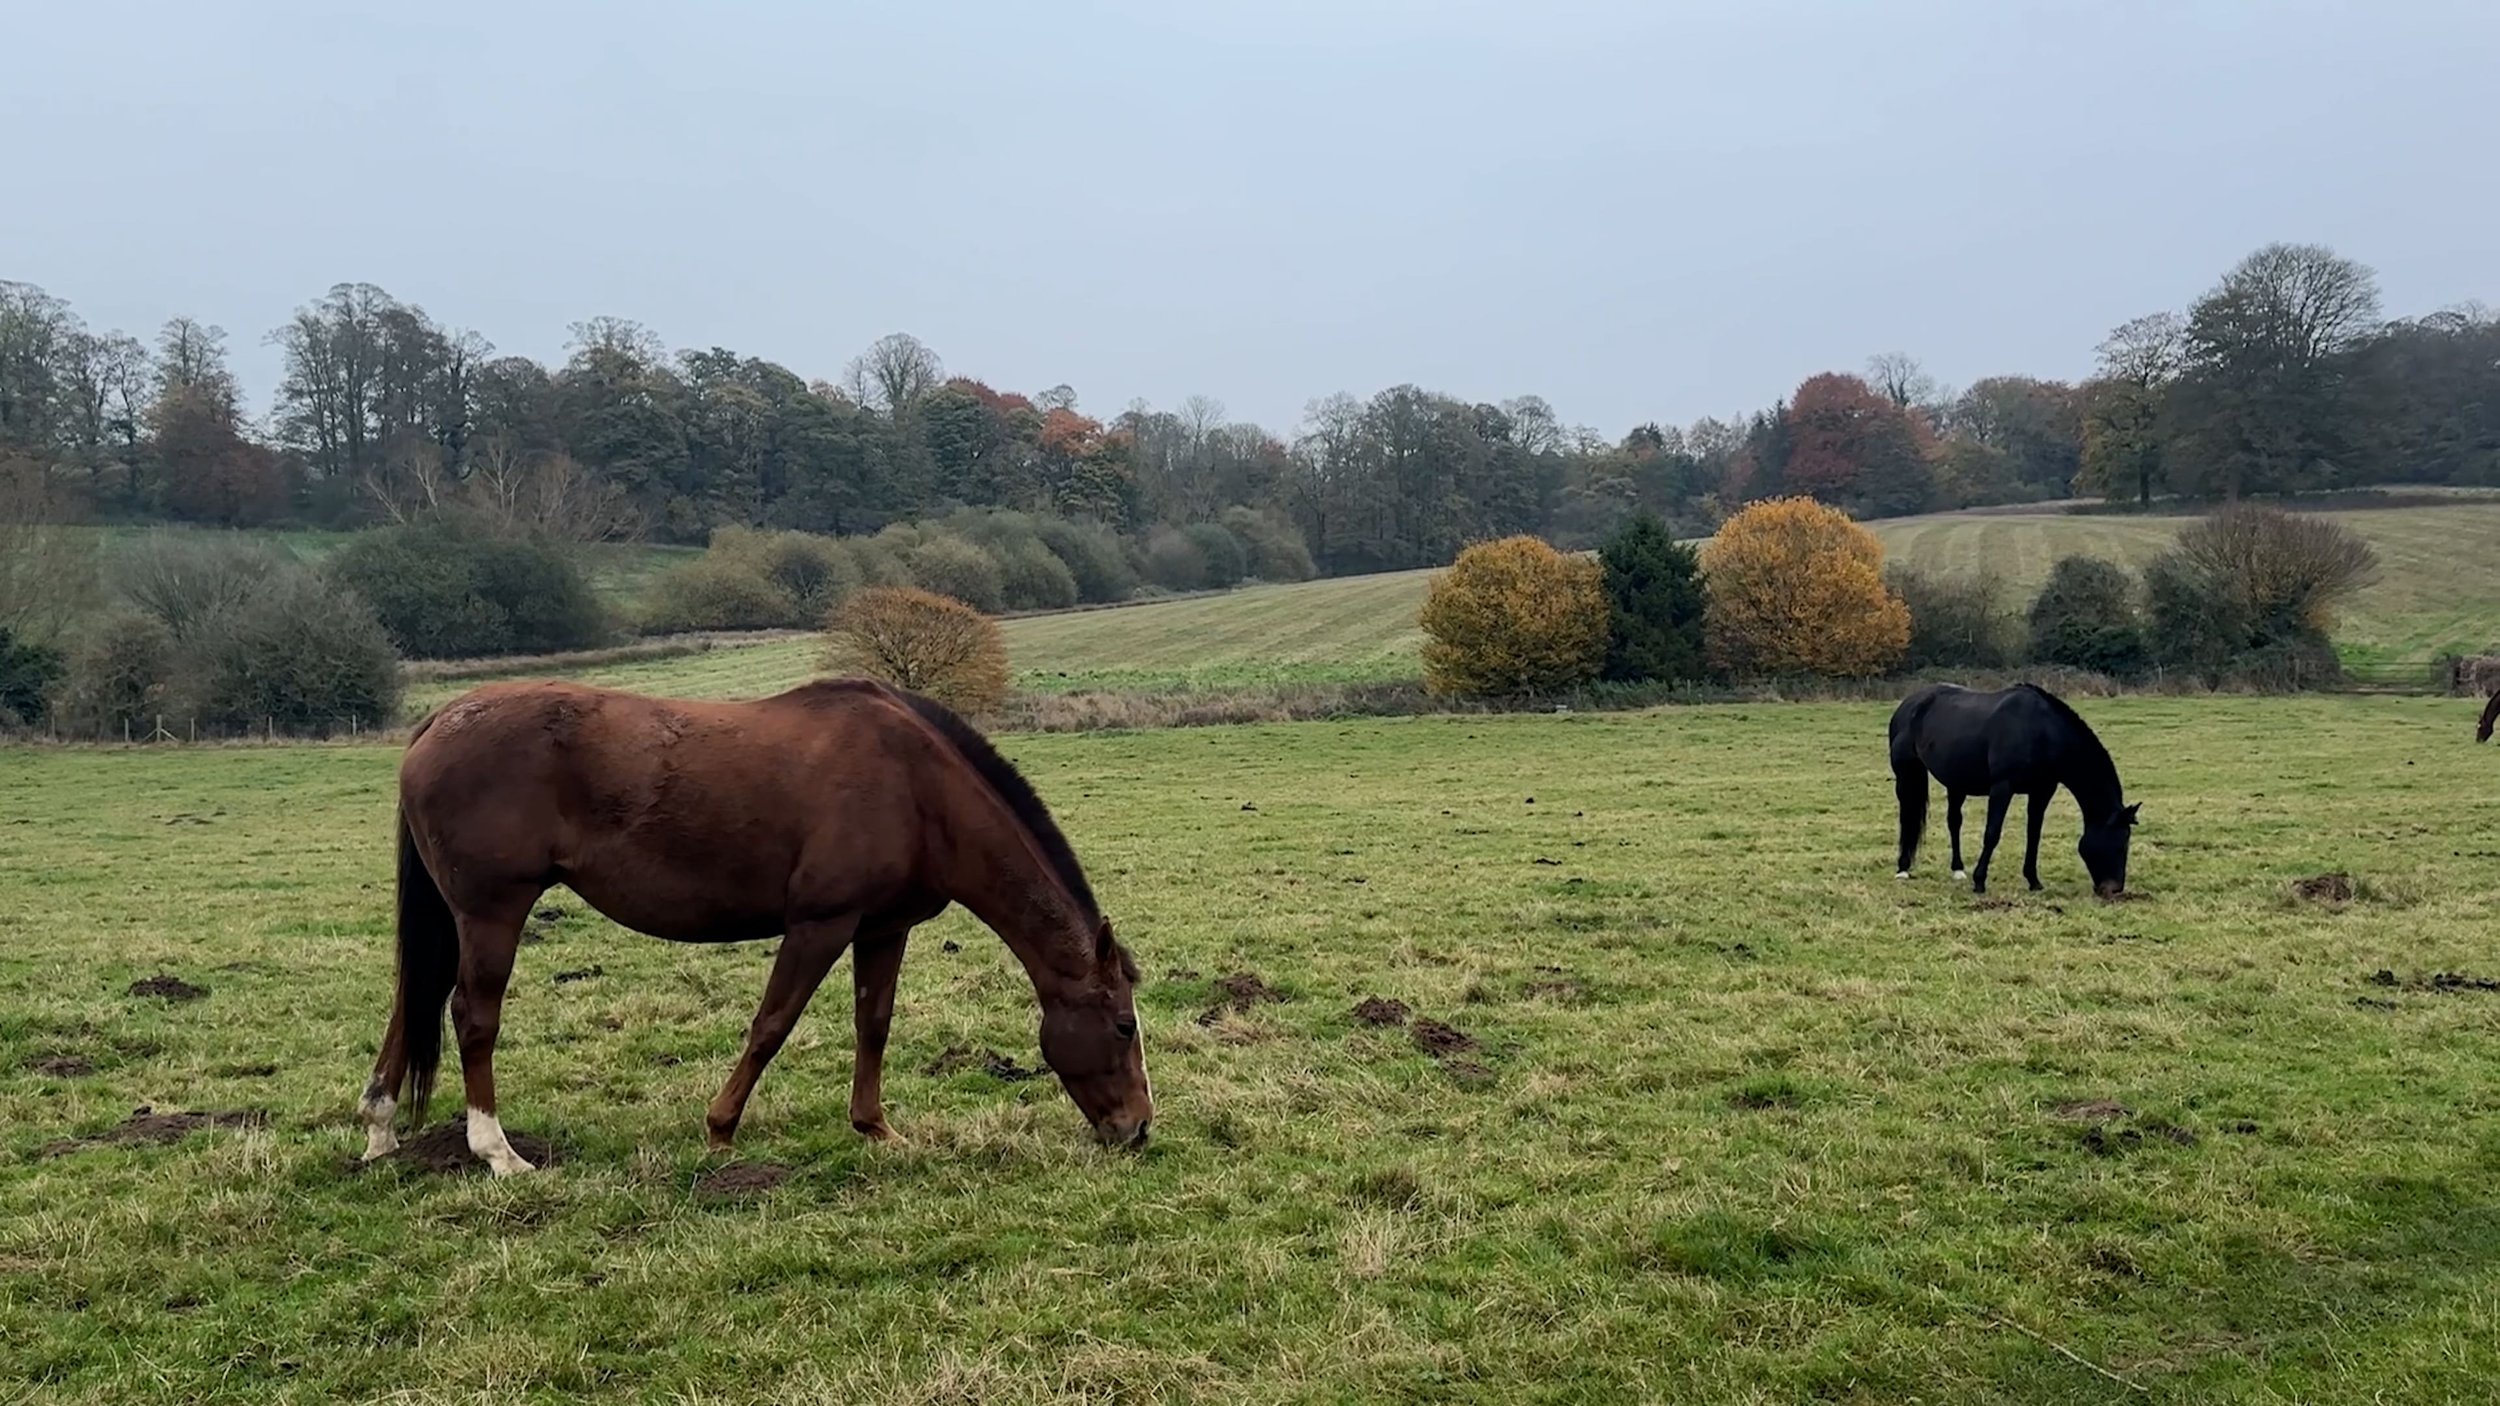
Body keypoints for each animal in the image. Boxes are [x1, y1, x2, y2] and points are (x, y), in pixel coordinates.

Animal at [357, 678, 1152, 1176]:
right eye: (1122, 1026)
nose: (1139, 1128)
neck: (918, 789)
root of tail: (436, 723)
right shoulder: (821, 923)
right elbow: (773, 1024)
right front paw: (720, 1130)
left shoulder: (882, 928)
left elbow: (874, 1024)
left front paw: (875, 1127)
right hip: (493, 912)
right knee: (471, 1015)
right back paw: (497, 1151)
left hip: (453, 918)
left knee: (411, 1000)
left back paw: (379, 1130)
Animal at [1888, 682, 2139, 898]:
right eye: (2120, 844)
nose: (2114, 889)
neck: (2042, 731)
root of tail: (1908, 704)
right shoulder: (2002, 787)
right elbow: (1992, 833)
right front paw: (1980, 881)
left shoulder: (2042, 791)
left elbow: (2033, 835)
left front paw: (2033, 880)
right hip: (1906, 774)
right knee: (1906, 817)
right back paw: (1902, 869)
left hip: (1956, 782)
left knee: (1954, 822)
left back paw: (1958, 870)